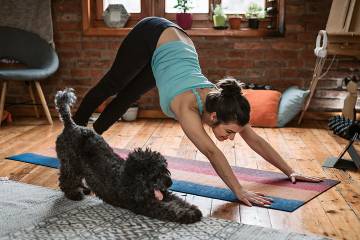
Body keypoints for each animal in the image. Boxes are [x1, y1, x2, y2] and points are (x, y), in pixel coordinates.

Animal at [55, 88, 202, 225]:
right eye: (155, 173)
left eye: (165, 169)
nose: (169, 182)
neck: (130, 178)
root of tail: (70, 125)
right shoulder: (147, 205)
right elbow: (169, 209)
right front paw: (188, 215)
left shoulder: (163, 194)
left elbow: (177, 200)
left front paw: (192, 209)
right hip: (70, 163)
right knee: (65, 179)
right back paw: (74, 194)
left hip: (78, 166)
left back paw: (84, 189)